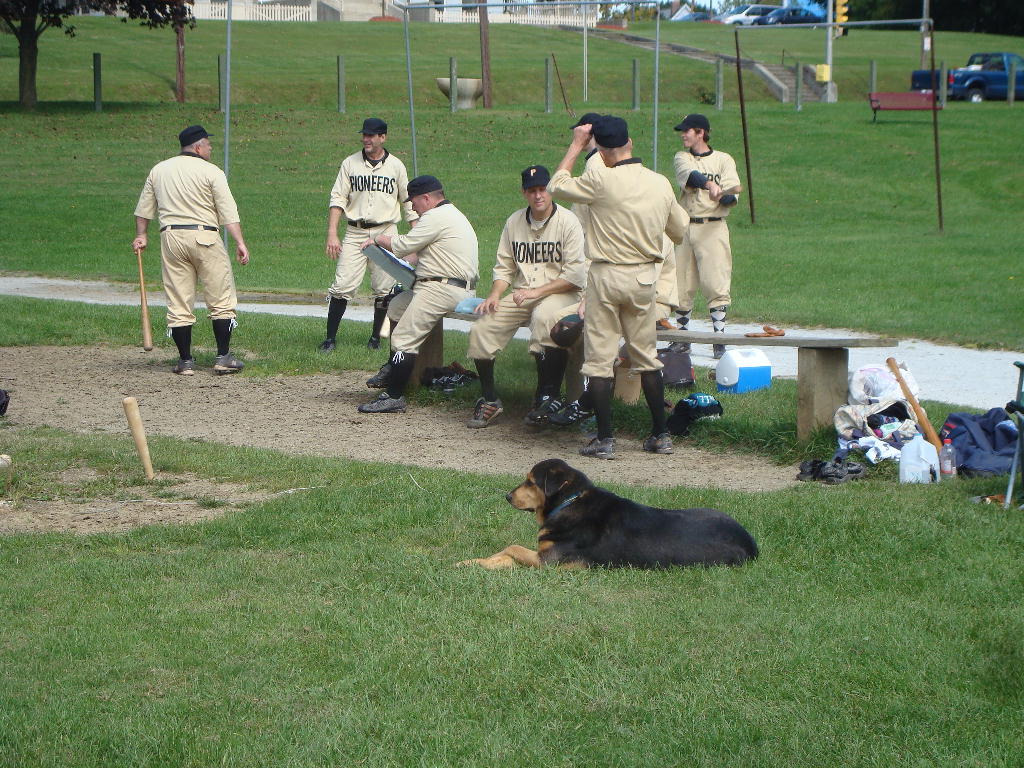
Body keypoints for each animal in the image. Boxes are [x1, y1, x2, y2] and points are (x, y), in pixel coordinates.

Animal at [460, 460, 757, 569]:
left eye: (531, 482)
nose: (507, 496)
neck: (569, 503)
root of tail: (752, 545)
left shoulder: (548, 561)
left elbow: (512, 547)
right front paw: (473, 562)